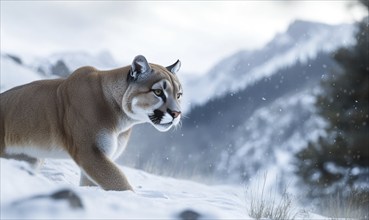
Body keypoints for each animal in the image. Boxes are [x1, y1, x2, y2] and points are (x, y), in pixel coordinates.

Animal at [0, 55, 182, 191]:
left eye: (179, 94)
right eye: (158, 92)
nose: (176, 113)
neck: (122, 119)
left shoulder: (100, 156)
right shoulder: (90, 151)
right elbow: (118, 180)